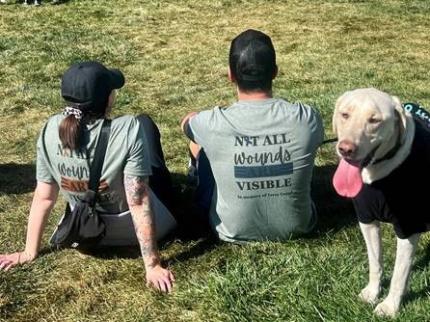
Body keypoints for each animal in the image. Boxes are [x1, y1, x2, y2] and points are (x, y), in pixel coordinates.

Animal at [332, 87, 430, 316]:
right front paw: (372, 292)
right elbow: (375, 263)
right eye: (344, 114)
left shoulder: (408, 228)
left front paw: (390, 306)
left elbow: (399, 276)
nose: (345, 149)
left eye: (374, 120)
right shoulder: (367, 220)